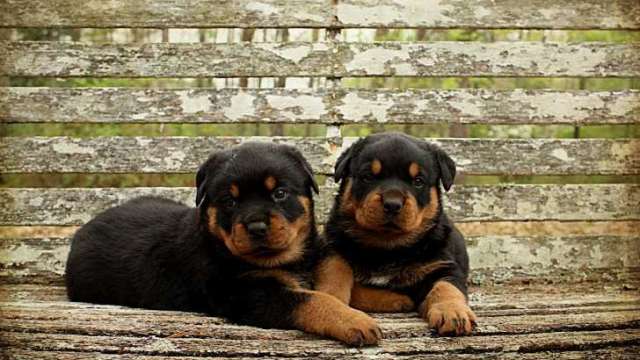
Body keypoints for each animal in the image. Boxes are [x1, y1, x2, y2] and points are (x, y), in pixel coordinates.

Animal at [67, 143, 382, 346]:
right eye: (230, 201)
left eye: (280, 193)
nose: (256, 227)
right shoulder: (246, 294)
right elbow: (309, 299)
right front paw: (354, 321)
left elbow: (334, 273)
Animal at [320, 133, 476, 338]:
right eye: (368, 177)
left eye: (418, 181)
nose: (392, 204)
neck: (387, 248)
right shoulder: (334, 249)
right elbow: (336, 274)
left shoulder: (443, 265)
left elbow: (447, 287)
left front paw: (453, 312)